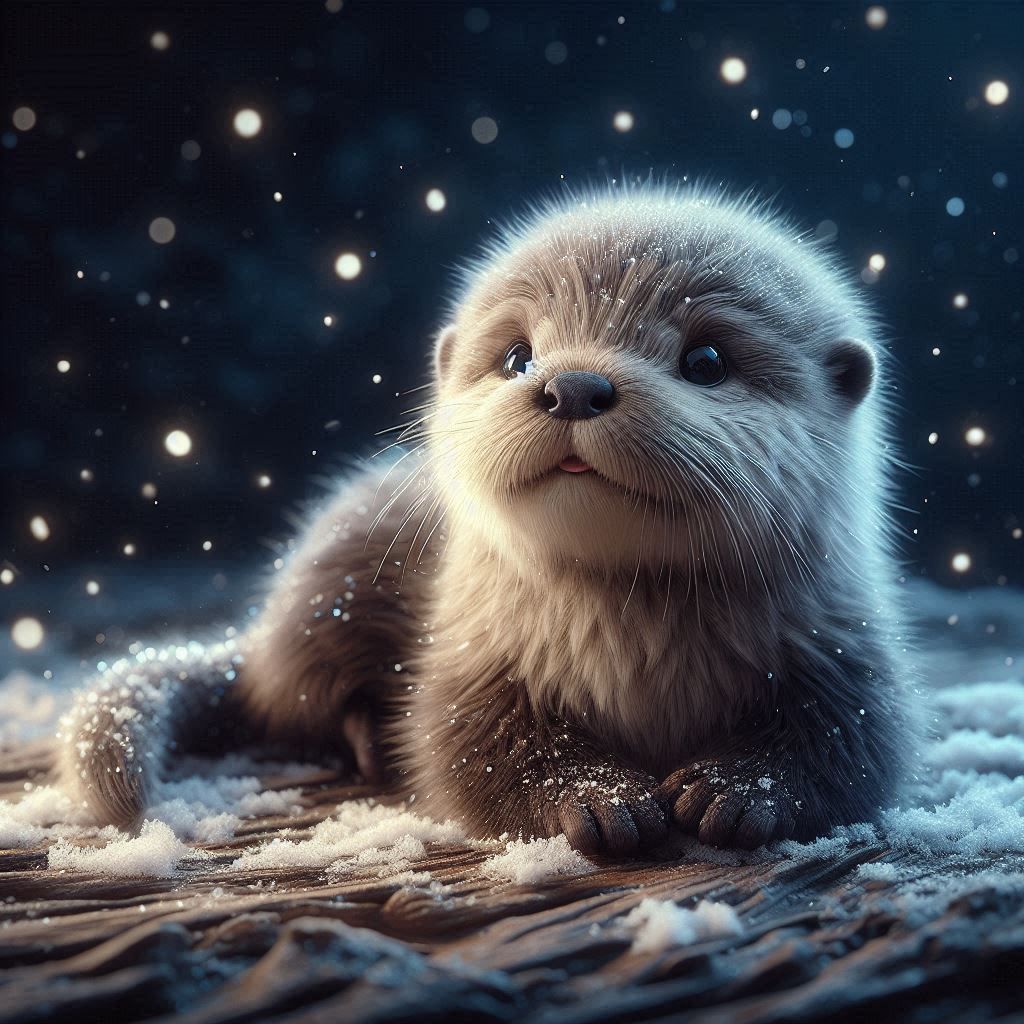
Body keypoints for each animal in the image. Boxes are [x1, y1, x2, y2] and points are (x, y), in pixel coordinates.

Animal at [59, 186, 914, 853]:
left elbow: (852, 747)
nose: (574, 385)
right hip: (330, 570)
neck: (642, 664)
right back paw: (367, 740)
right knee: (290, 700)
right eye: (518, 356)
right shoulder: (472, 656)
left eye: (706, 361)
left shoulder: (845, 653)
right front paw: (599, 798)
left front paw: (736, 791)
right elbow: (476, 751)